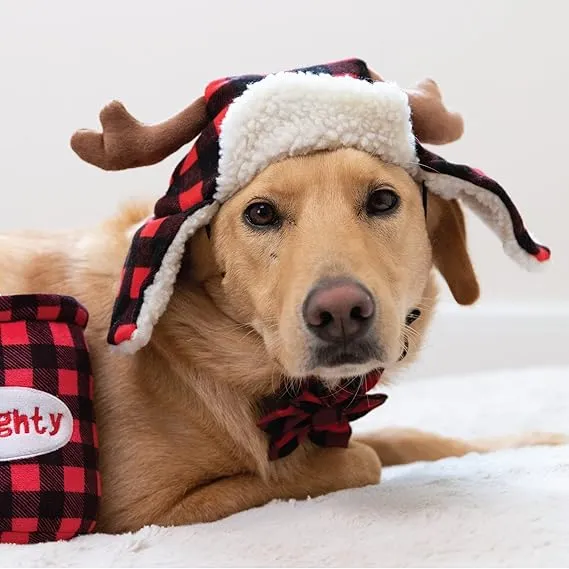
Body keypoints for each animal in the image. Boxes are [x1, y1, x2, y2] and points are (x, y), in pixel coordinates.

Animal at [0, 148, 560, 532]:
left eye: (383, 200)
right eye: (261, 213)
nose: (340, 313)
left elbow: (410, 437)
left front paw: (530, 440)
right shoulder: (146, 510)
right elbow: (361, 460)